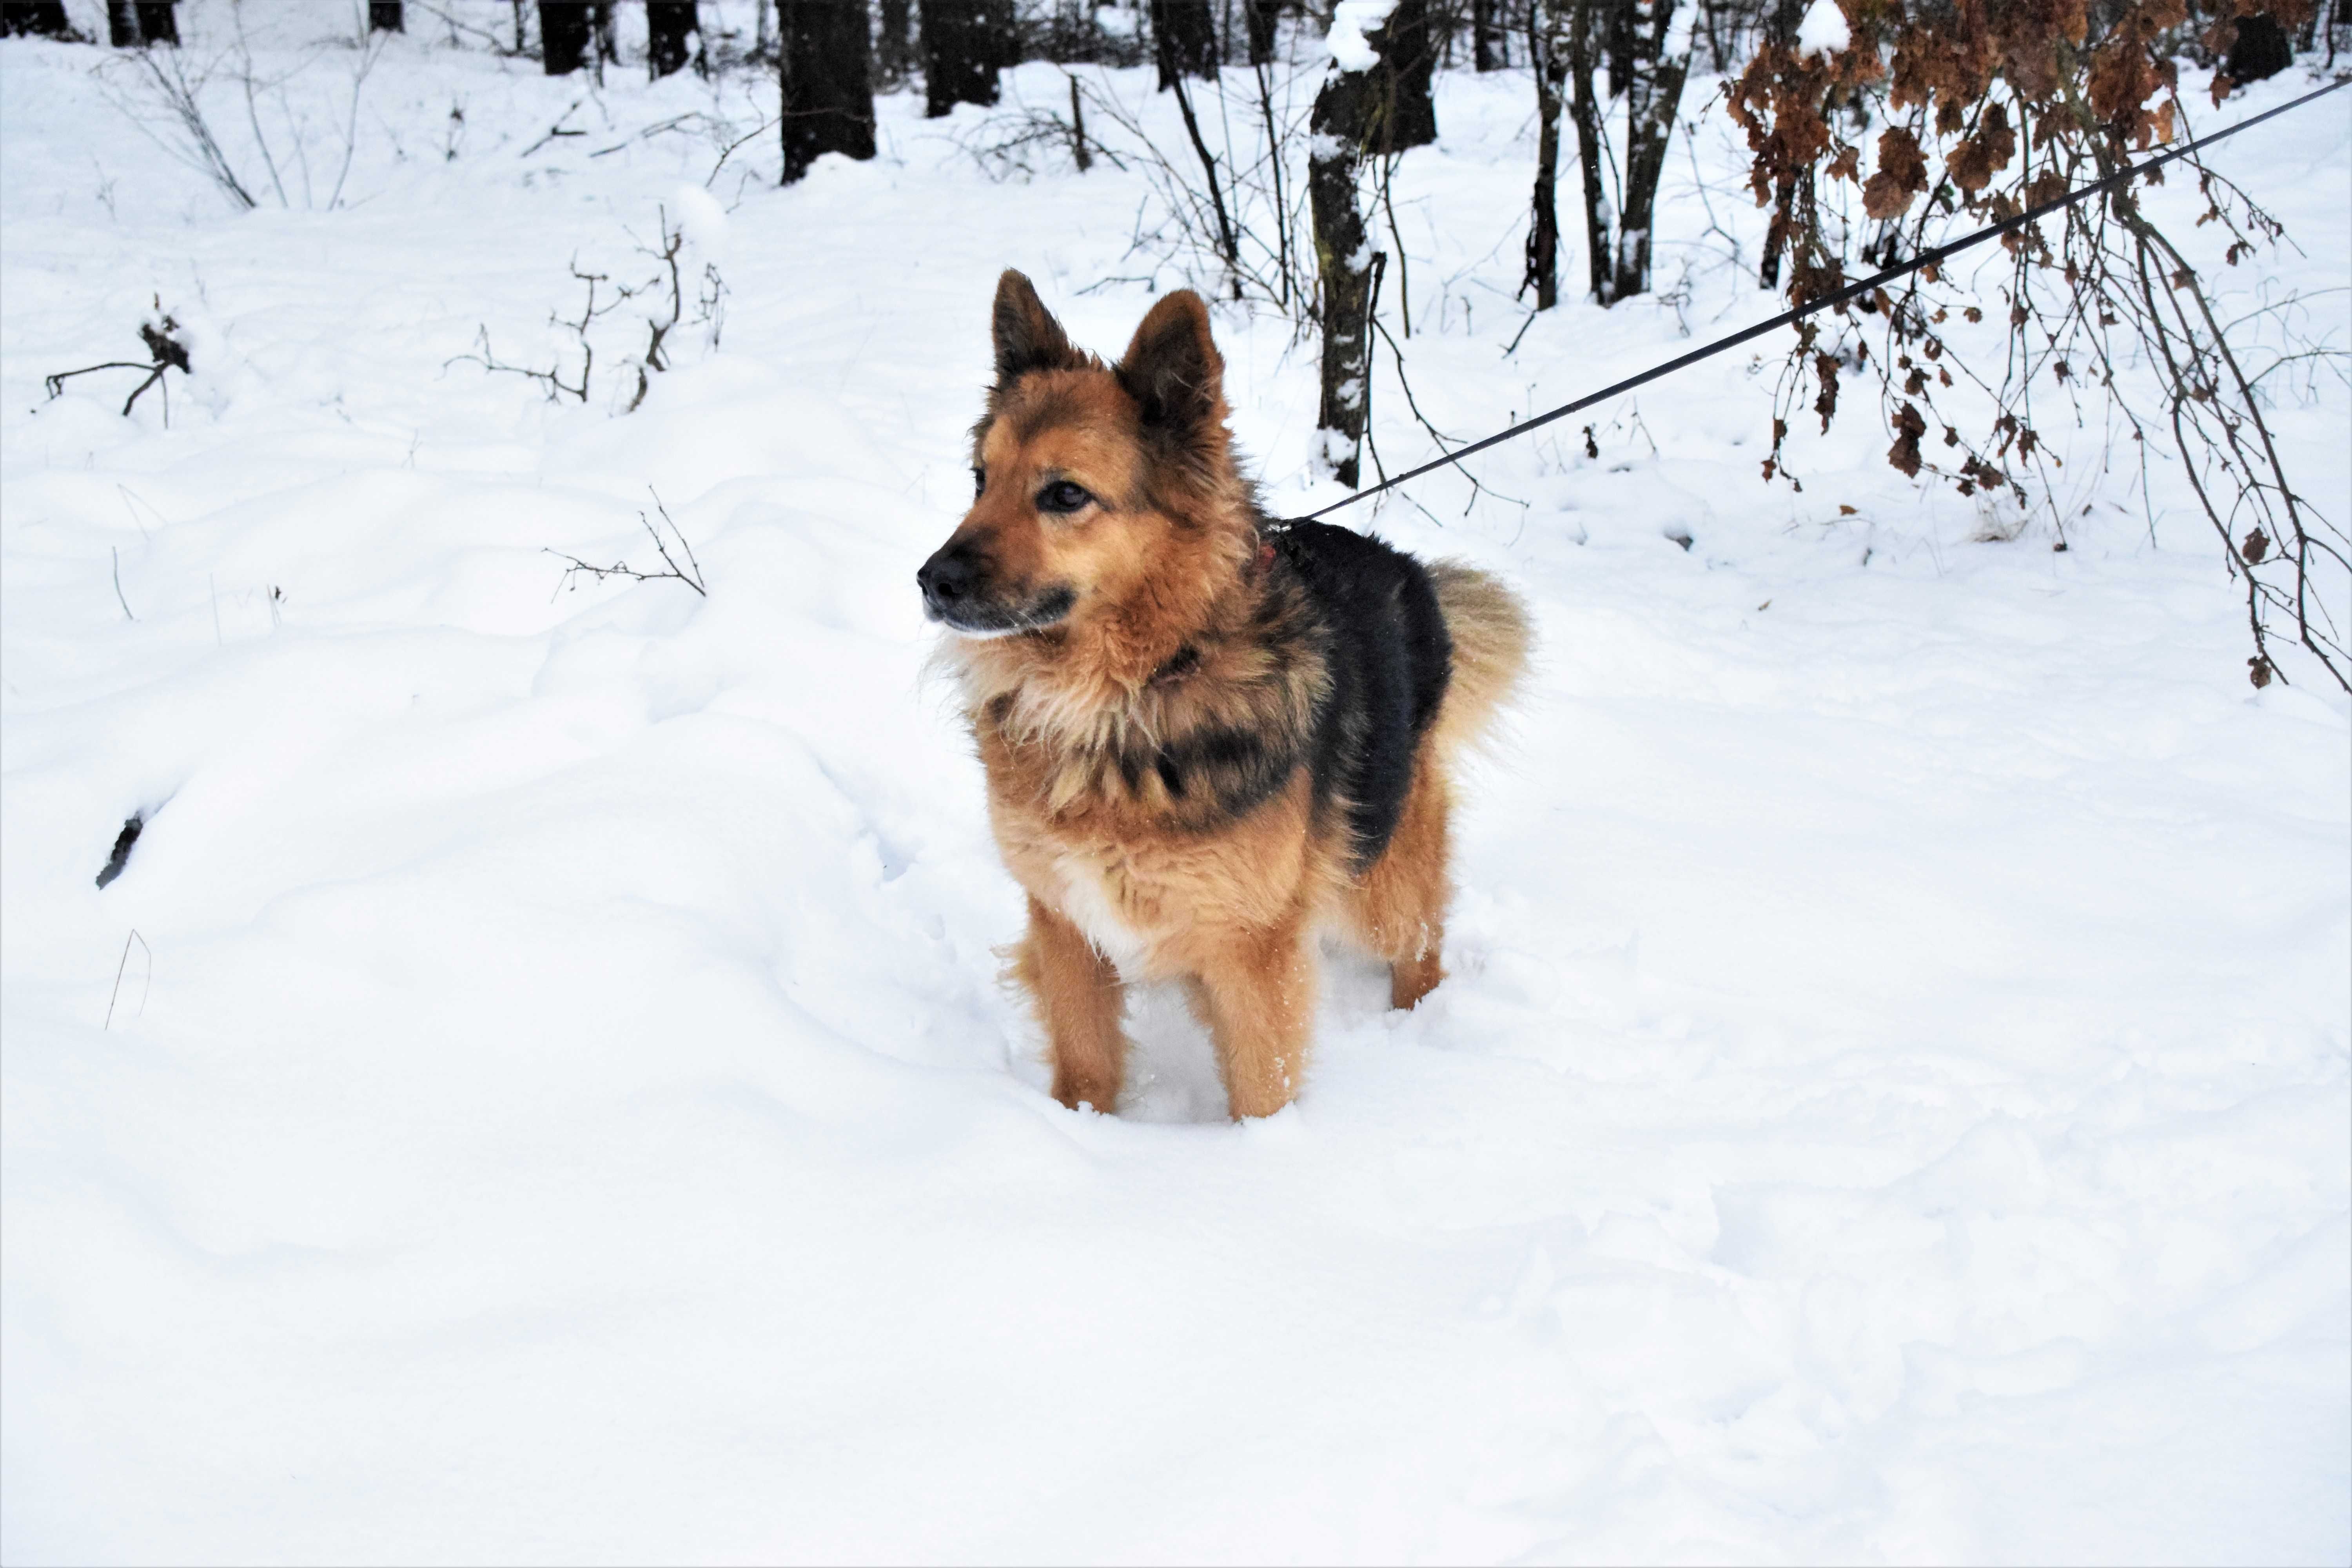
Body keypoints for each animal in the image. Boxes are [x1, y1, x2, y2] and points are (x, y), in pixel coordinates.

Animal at [917, 276, 1524, 1123]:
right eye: (980, 479)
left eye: (1065, 494)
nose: (931, 581)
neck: (1124, 696)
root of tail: (1410, 570)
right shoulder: (1067, 923)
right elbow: (1086, 1067)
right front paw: (1079, 1134)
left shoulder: (1252, 952)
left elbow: (1262, 1090)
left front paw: (1258, 1157)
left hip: (1380, 876)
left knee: (1419, 940)